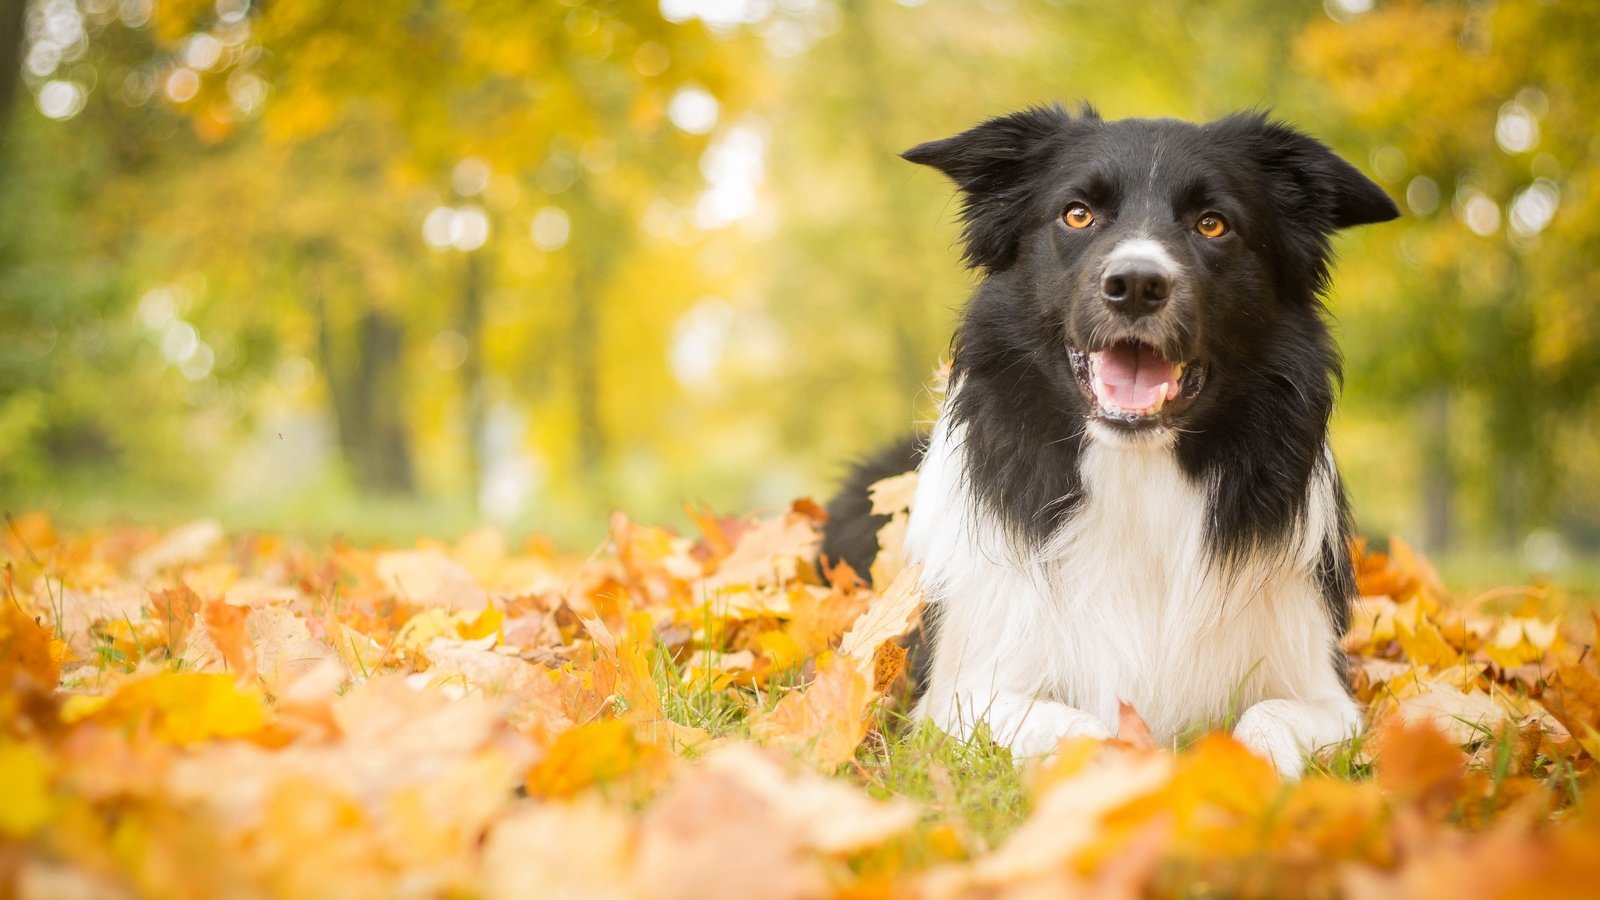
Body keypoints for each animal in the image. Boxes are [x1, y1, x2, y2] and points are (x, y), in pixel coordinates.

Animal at [825, 104, 1401, 775]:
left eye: (1213, 223)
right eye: (1078, 214)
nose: (1136, 284)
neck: (1137, 471)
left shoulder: (1323, 689)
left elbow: (1268, 715)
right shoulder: (958, 693)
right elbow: (1080, 727)